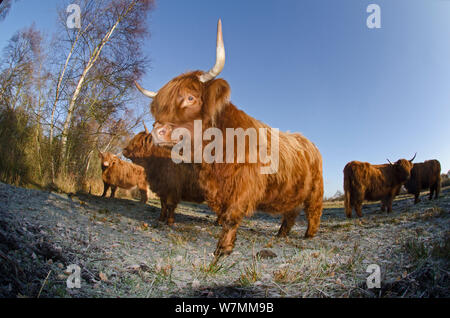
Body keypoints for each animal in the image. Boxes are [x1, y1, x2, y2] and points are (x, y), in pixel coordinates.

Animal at [134, 19, 324, 260]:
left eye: (190, 98)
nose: (157, 130)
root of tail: (308, 141)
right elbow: (223, 215)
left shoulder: (244, 186)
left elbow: (231, 217)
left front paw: (223, 249)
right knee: (291, 212)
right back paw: (281, 234)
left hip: (316, 190)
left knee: (313, 211)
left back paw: (309, 235)